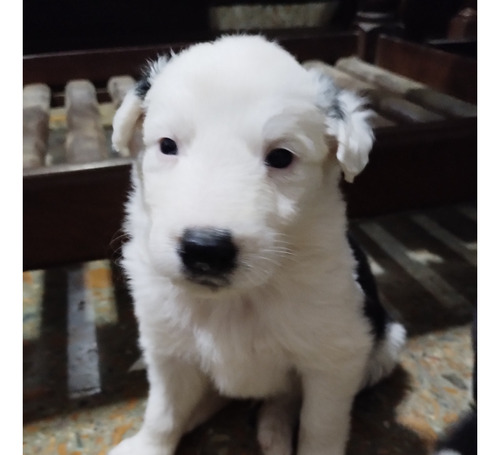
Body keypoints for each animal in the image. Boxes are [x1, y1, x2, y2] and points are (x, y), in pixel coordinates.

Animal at [109, 36, 406, 455]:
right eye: (167, 145)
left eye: (281, 157)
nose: (205, 249)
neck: (238, 300)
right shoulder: (167, 348)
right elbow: (164, 409)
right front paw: (150, 445)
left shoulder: (336, 358)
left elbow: (321, 425)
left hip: (386, 344)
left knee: (286, 398)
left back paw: (272, 428)